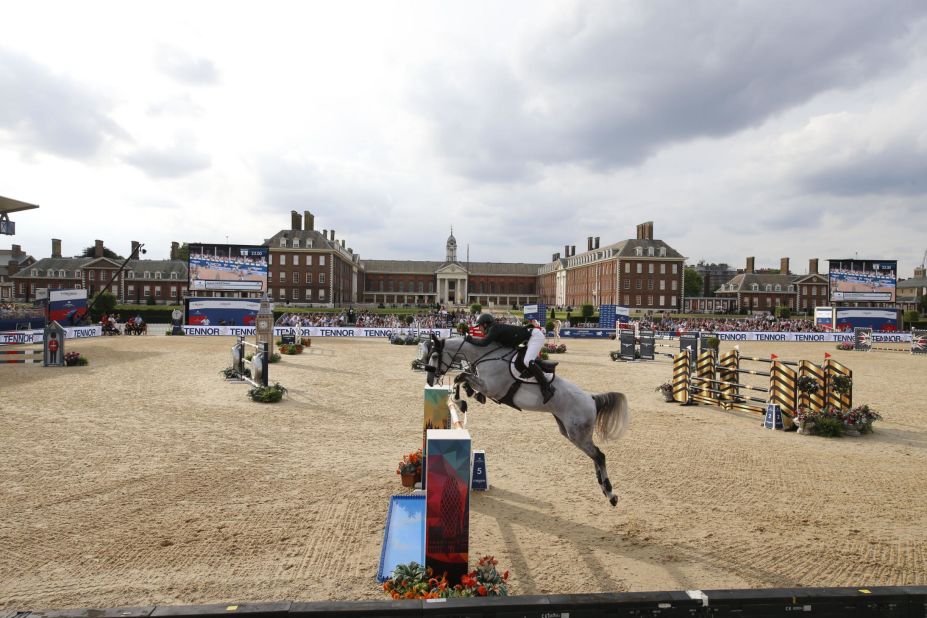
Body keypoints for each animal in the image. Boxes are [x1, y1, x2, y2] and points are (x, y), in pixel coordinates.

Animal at [422, 332, 632, 506]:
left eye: (435, 356)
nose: (430, 380)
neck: (485, 356)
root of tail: (592, 399)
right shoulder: (484, 385)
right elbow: (464, 378)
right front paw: (467, 398)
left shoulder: (491, 387)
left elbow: (461, 376)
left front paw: (462, 400)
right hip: (569, 432)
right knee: (595, 456)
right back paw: (604, 488)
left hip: (577, 434)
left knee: (599, 455)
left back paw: (611, 493)